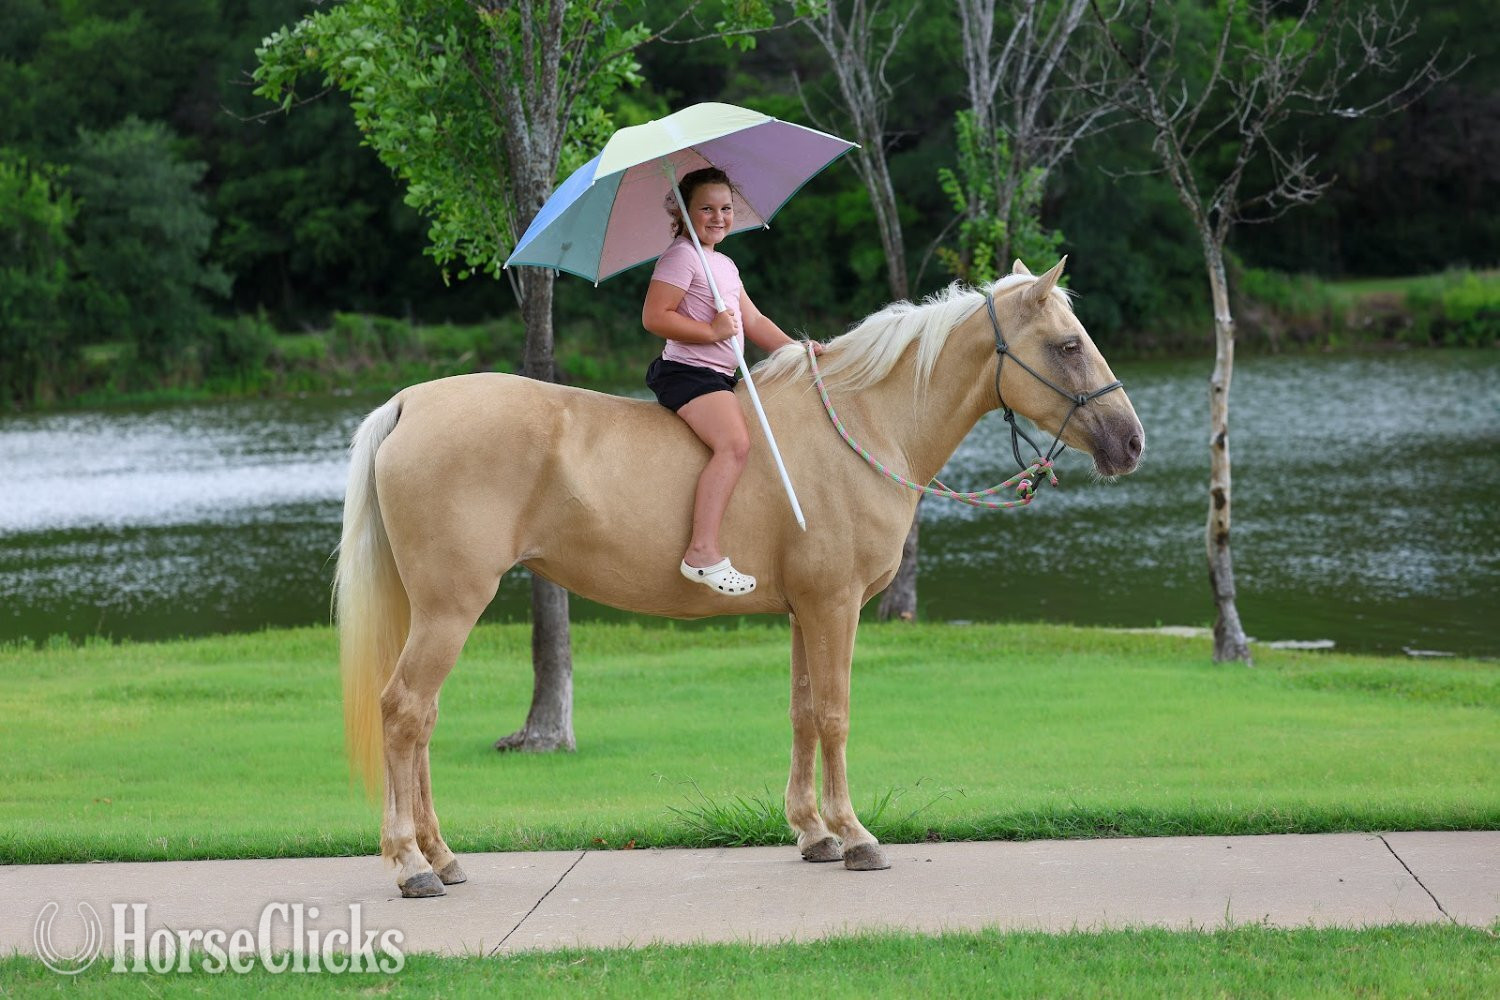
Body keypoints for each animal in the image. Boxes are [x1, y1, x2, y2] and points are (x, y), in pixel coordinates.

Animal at [335, 257, 1144, 897]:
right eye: (1069, 345)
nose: (1131, 442)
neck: (862, 426)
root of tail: (410, 402)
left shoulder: (803, 611)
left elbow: (802, 714)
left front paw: (813, 833)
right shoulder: (835, 606)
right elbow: (835, 715)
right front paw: (856, 837)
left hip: (433, 611)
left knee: (423, 720)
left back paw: (442, 857)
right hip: (451, 608)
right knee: (405, 711)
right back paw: (411, 864)